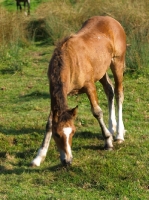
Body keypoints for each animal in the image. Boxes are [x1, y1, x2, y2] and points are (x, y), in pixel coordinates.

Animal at [30, 15, 126, 166]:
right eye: (57, 134)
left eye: (73, 132)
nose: (67, 160)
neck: (69, 61)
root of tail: (112, 20)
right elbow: (50, 122)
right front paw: (39, 157)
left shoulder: (89, 86)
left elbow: (97, 112)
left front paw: (108, 142)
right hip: (101, 70)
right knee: (109, 90)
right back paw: (112, 128)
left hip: (117, 62)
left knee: (118, 93)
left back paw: (119, 135)